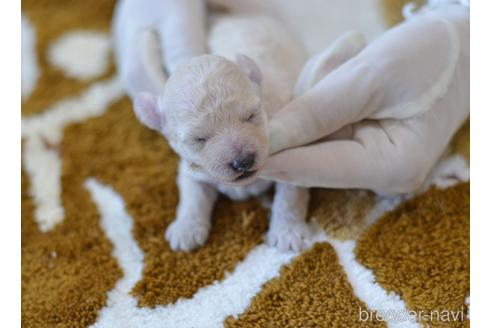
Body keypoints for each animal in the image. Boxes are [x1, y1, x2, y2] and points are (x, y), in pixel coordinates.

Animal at [114, 9, 310, 251]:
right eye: (199, 138)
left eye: (252, 115)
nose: (243, 161)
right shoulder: (192, 167)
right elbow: (192, 193)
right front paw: (186, 229)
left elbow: (290, 193)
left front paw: (288, 232)